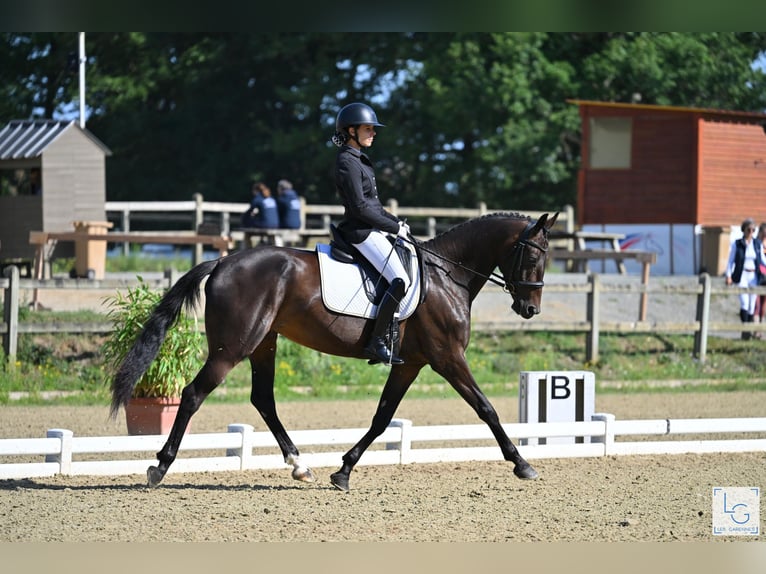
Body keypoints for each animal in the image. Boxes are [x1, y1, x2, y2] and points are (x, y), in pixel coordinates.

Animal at [110, 211, 558, 491]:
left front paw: (343, 470)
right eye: (534, 257)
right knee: (192, 394)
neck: (448, 275)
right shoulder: (447, 358)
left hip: (264, 342)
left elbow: (382, 419)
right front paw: (522, 464)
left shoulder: (410, 364)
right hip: (233, 346)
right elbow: (487, 408)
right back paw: (159, 467)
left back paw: (301, 466)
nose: (530, 309)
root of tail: (221, 263)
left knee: (263, 399)